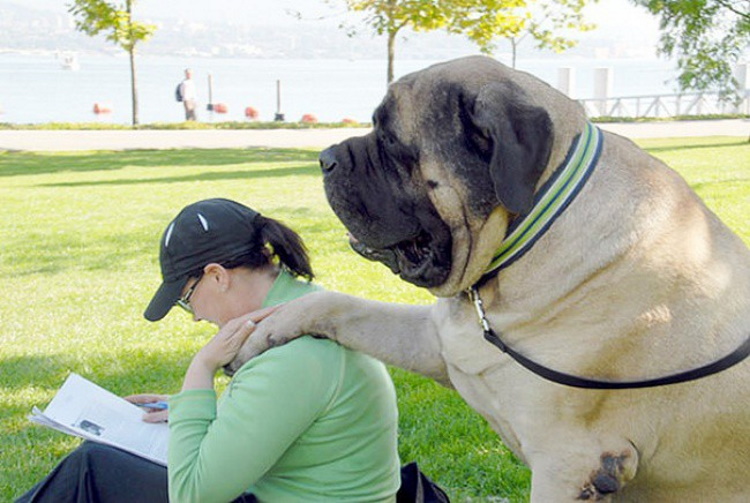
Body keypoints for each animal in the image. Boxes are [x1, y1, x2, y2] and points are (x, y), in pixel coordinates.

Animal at [231, 55, 750, 500]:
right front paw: (263, 329)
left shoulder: (568, 462)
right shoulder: (441, 344)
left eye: (392, 141)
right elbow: (340, 305)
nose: (325, 158)